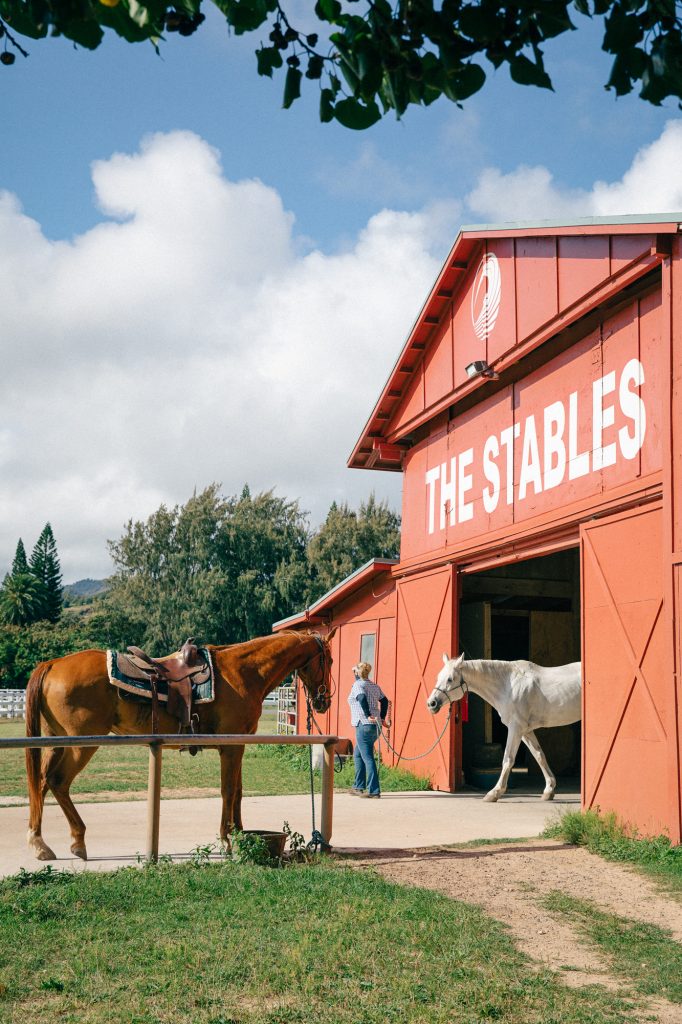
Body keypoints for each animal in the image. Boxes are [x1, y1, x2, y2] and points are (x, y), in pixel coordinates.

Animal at [25, 626, 333, 860]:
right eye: (328, 660)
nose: (324, 701)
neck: (243, 672)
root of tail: (51, 664)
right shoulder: (231, 746)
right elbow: (228, 790)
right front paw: (227, 839)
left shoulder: (239, 744)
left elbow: (238, 790)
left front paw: (240, 834)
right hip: (81, 745)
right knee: (57, 781)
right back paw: (76, 841)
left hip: (57, 743)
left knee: (41, 782)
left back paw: (40, 843)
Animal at [425, 651, 577, 802]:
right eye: (438, 677)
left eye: (450, 679)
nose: (431, 703)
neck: (509, 686)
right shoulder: (525, 731)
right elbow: (539, 755)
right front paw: (549, 790)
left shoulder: (515, 728)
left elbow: (508, 760)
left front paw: (494, 793)